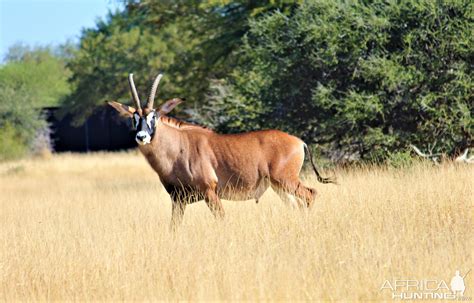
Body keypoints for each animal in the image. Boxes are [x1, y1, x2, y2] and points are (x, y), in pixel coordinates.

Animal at [108, 74, 336, 230]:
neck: (177, 147)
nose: (142, 137)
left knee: (310, 194)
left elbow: (221, 220)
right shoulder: (178, 199)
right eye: (134, 118)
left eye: (153, 116)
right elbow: (174, 227)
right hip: (279, 186)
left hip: (286, 180)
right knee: (297, 205)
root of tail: (299, 141)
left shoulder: (210, 192)